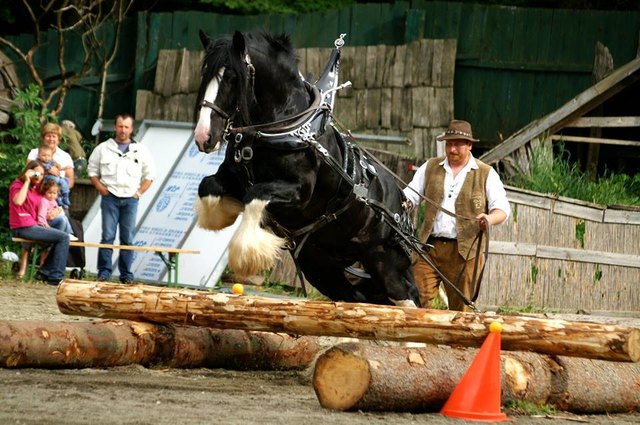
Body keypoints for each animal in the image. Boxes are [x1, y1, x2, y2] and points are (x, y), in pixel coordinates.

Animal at [193, 30, 420, 307]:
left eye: (232, 78)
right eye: (205, 75)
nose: (203, 136)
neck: (281, 128)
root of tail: (400, 199)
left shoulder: (300, 193)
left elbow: (256, 195)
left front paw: (248, 254)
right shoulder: (232, 179)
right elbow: (208, 185)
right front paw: (220, 217)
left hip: (384, 261)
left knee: (406, 297)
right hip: (321, 266)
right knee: (356, 297)